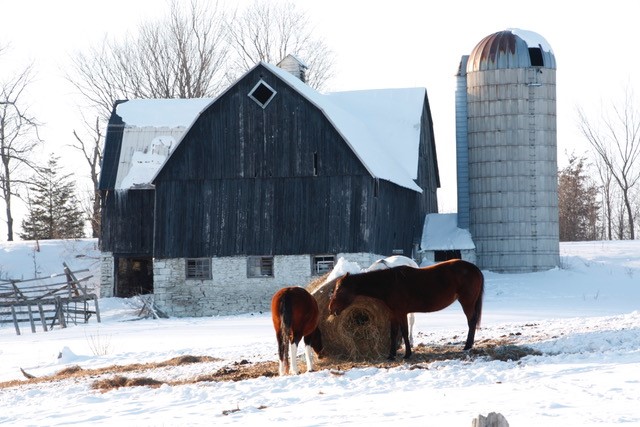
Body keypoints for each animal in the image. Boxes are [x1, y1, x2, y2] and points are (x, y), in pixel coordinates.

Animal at [328, 259, 484, 360]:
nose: (331, 308)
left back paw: (467, 346)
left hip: (467, 303)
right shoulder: (393, 314)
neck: (391, 283)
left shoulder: (401, 312)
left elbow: (403, 331)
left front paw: (407, 354)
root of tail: (474, 269)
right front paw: (391, 355)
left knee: (471, 322)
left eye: (340, 291)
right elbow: (393, 332)